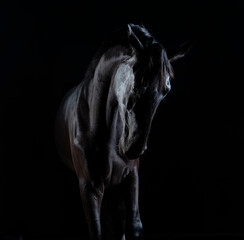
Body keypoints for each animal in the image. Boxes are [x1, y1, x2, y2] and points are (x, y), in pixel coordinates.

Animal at [54, 23, 192, 240]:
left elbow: (133, 226)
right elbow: (98, 232)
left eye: (166, 90)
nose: (134, 148)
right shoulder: (90, 187)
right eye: (136, 82)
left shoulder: (130, 178)